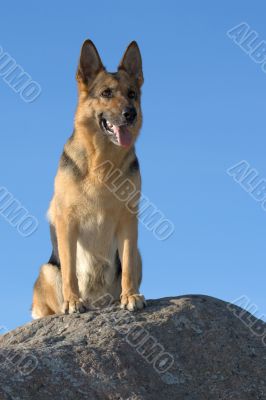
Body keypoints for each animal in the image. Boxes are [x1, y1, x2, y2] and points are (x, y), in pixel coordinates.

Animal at [32, 39, 148, 318]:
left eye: (132, 94)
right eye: (106, 93)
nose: (130, 113)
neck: (101, 164)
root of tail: (100, 301)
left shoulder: (129, 220)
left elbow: (127, 265)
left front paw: (130, 296)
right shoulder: (67, 221)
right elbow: (70, 270)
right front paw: (73, 301)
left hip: (139, 254)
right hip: (46, 270)